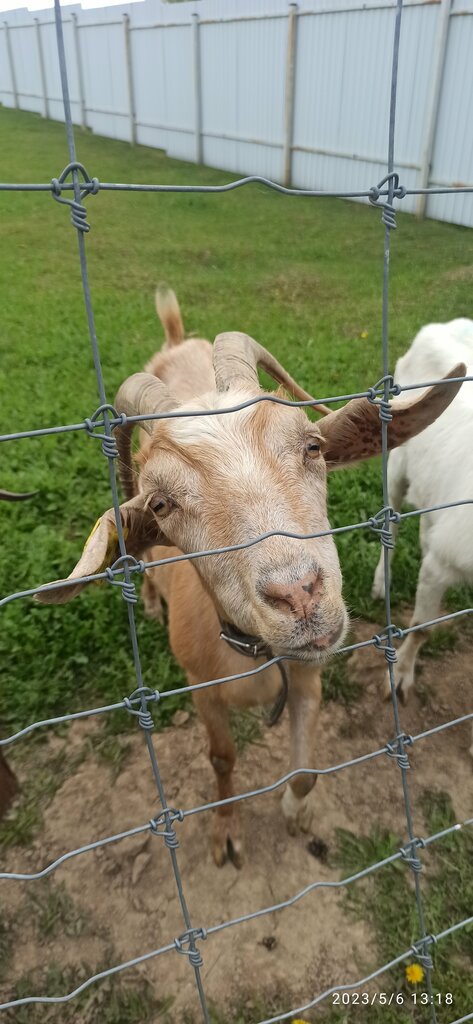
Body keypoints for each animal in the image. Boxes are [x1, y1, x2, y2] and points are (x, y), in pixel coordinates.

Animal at [37, 290, 465, 866]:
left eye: (312, 446)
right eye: (160, 503)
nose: (299, 596)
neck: (256, 658)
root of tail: (177, 338)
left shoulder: (308, 678)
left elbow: (305, 771)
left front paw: (295, 813)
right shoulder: (201, 688)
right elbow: (221, 758)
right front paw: (225, 836)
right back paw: (147, 600)